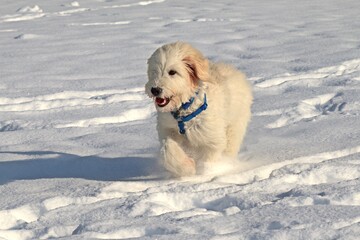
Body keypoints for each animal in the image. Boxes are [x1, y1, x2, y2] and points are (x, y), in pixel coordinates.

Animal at [145, 42, 252, 176]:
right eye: (154, 71)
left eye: (172, 72)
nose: (155, 90)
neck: (184, 109)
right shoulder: (167, 129)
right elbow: (167, 148)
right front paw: (186, 167)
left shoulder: (212, 137)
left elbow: (209, 156)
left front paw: (204, 171)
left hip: (235, 126)